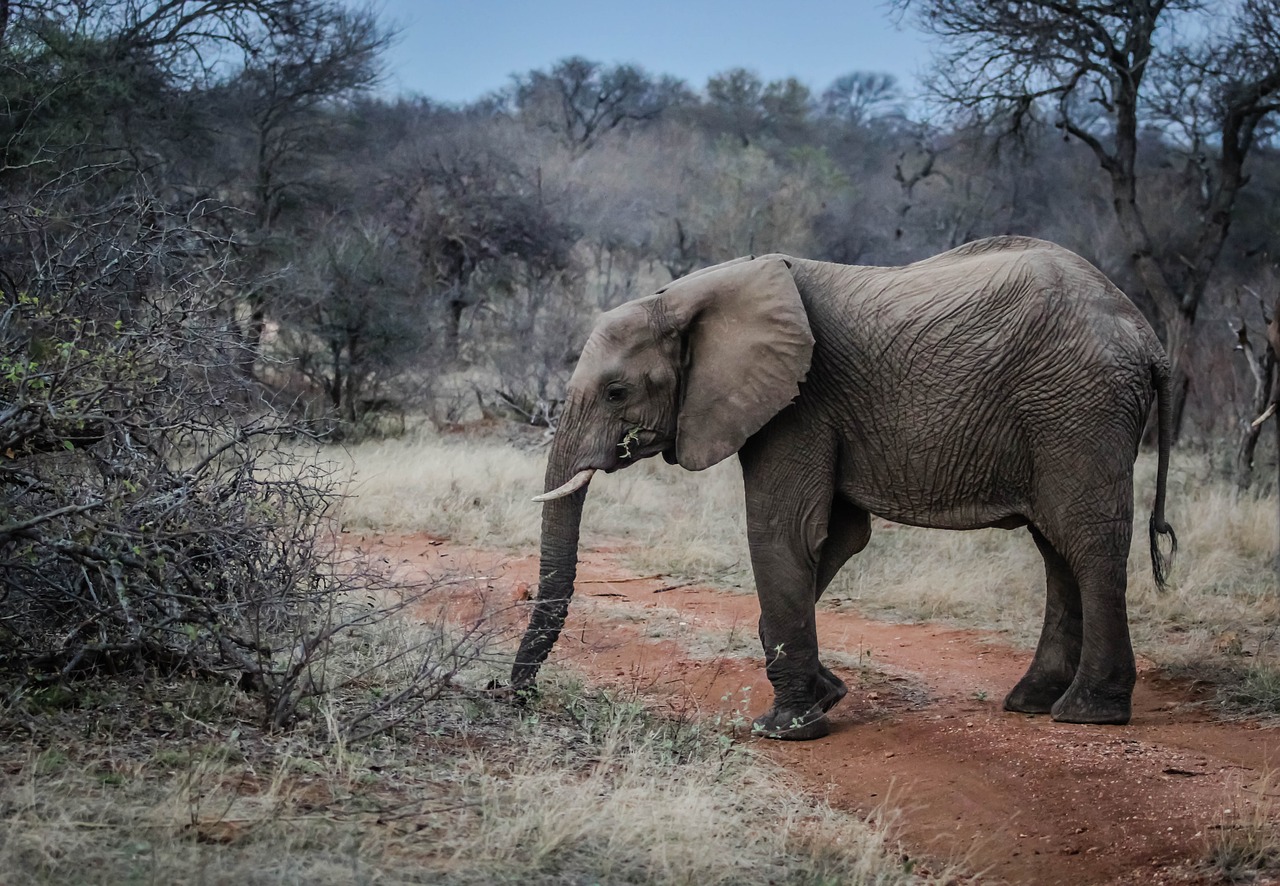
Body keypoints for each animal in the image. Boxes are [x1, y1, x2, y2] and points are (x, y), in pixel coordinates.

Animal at [512, 235, 1177, 742]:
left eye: (616, 392)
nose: (513, 696)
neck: (686, 297)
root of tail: (1149, 340)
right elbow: (837, 537)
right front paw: (828, 695)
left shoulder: (799, 402)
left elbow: (783, 531)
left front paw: (785, 728)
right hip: (1062, 415)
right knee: (1055, 546)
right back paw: (1032, 702)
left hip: (1079, 409)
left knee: (1086, 541)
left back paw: (1089, 714)